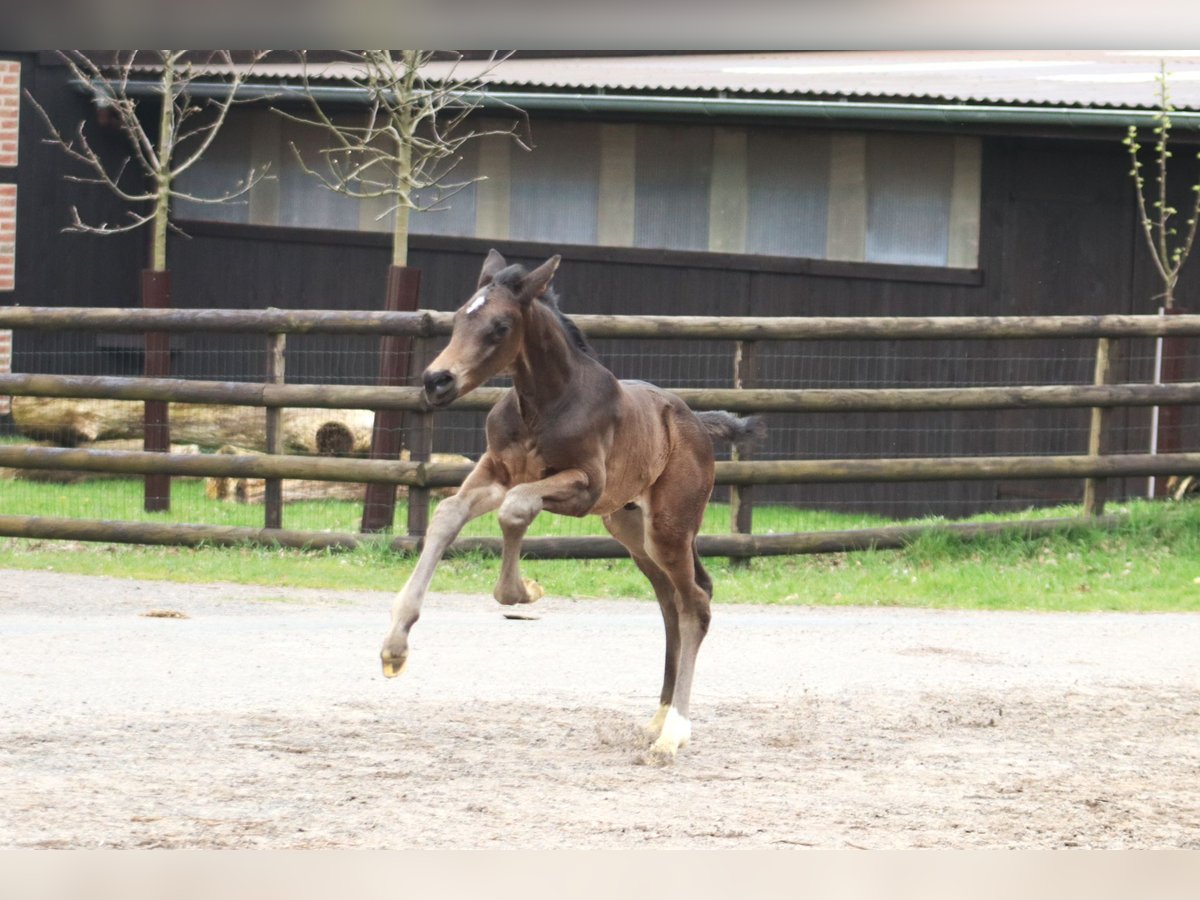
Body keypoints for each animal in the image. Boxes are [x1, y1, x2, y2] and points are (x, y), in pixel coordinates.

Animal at [379, 250, 763, 763]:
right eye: (460, 316)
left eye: (500, 326)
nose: (436, 381)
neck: (542, 404)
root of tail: (698, 424)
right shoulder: (495, 471)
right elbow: (448, 515)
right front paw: (395, 648)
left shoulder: (583, 486)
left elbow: (516, 510)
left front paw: (524, 591)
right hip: (631, 530)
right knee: (671, 601)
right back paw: (658, 716)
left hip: (669, 526)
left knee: (695, 604)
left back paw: (674, 732)